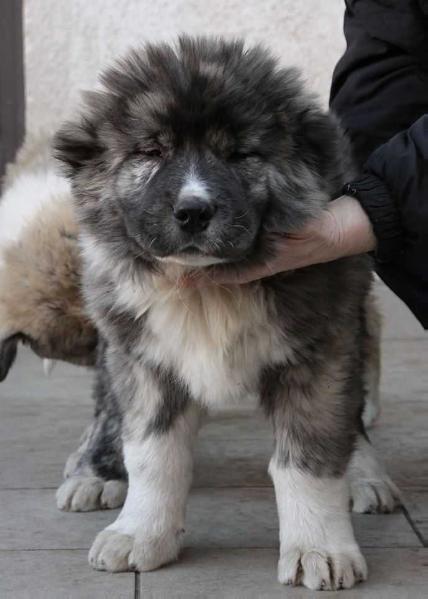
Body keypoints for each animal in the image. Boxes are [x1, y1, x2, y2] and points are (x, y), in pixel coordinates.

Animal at [54, 37, 398, 592]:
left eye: (239, 154)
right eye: (152, 151)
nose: (193, 211)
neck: (205, 292)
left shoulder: (320, 347)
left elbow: (309, 457)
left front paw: (319, 548)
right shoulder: (145, 357)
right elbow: (151, 454)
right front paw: (141, 533)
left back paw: (366, 472)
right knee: (108, 405)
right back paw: (94, 472)